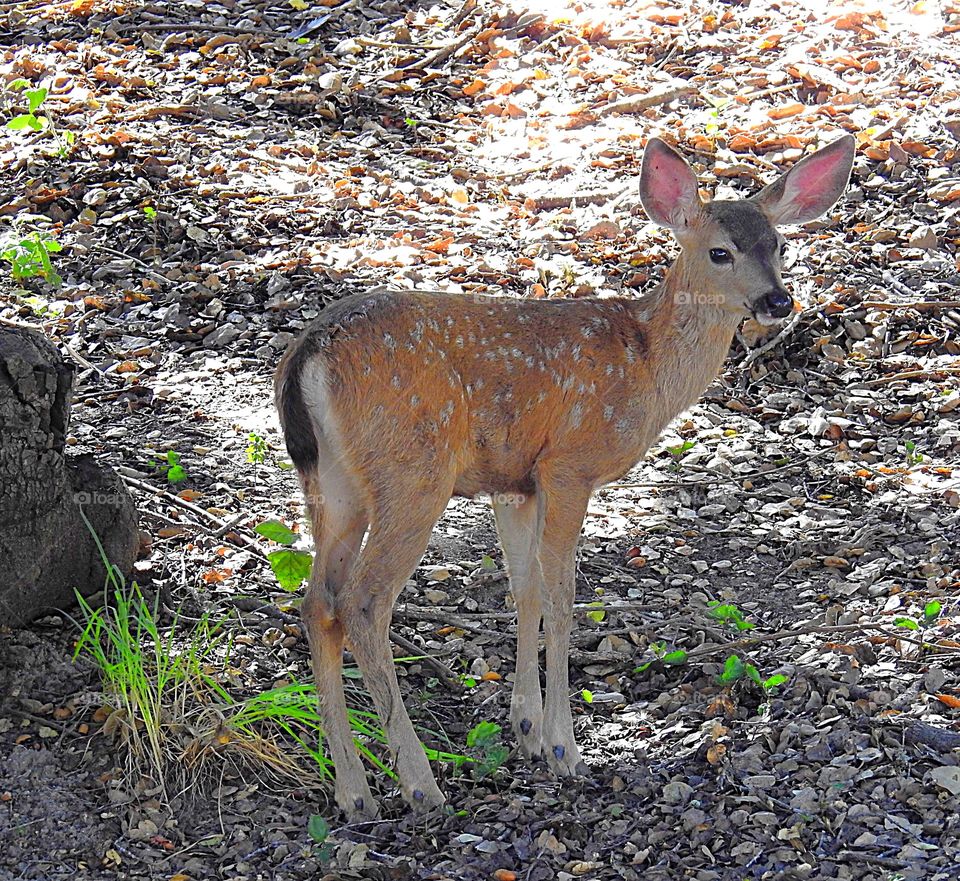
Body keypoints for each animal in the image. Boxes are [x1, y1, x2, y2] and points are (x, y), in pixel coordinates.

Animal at [275, 134, 856, 818]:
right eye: (721, 251)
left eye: (780, 246)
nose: (776, 301)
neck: (645, 364)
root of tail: (306, 359)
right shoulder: (569, 463)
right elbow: (560, 597)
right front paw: (562, 747)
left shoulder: (514, 482)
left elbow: (523, 588)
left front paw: (525, 727)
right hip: (412, 467)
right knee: (363, 603)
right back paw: (420, 784)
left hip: (334, 483)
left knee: (317, 602)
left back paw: (354, 791)